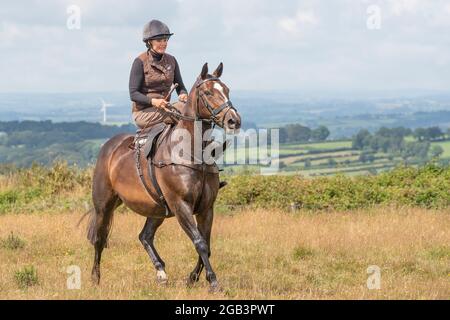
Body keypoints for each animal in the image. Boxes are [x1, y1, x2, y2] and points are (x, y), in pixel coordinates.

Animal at [85, 62, 239, 292]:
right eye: (208, 92)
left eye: (227, 90)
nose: (233, 120)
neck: (191, 152)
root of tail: (108, 147)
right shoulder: (181, 206)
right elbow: (200, 243)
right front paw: (213, 282)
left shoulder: (206, 208)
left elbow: (207, 245)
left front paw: (192, 278)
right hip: (104, 205)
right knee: (99, 238)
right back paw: (95, 278)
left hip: (156, 209)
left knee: (145, 236)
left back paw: (161, 273)